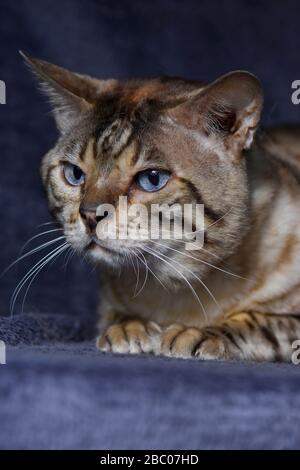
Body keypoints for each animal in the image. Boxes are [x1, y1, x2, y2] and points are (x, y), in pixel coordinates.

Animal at [22, 53, 300, 364]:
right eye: (74, 174)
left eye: (152, 179)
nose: (91, 214)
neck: (176, 290)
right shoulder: (108, 304)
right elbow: (117, 315)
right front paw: (130, 328)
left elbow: (260, 321)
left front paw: (197, 333)